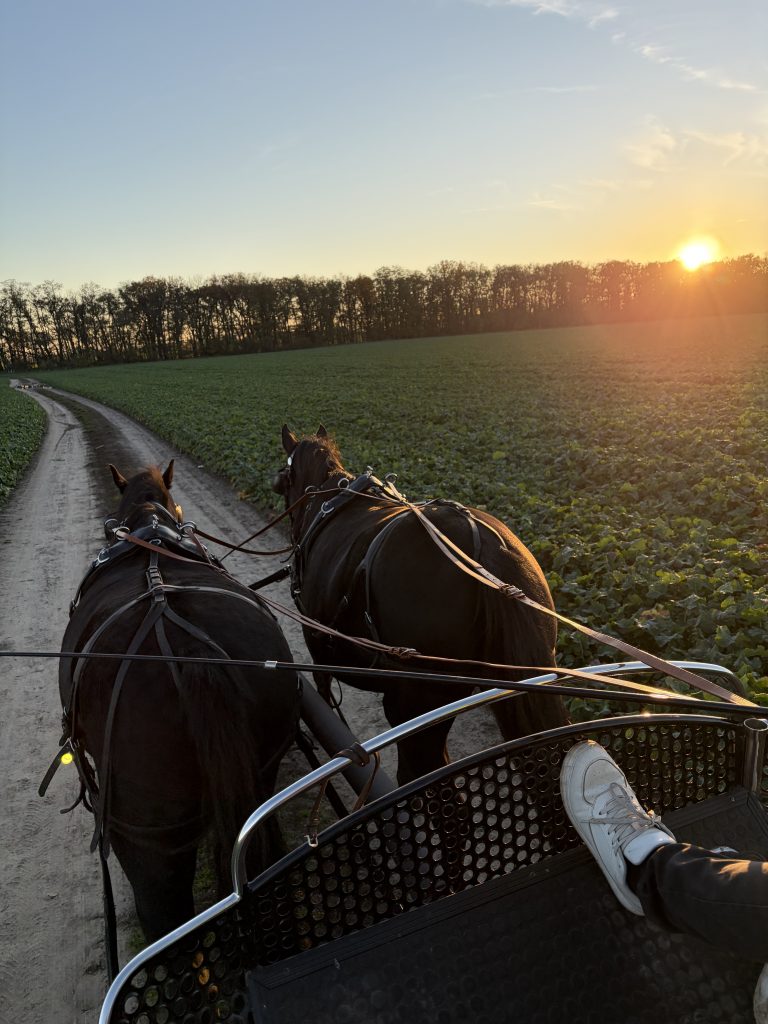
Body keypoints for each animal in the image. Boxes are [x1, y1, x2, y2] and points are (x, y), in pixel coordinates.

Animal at [274, 425, 568, 785]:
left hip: (418, 699)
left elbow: (325, 693)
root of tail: (481, 547)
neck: (327, 496)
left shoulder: (315, 638)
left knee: (422, 770)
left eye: (284, 477)